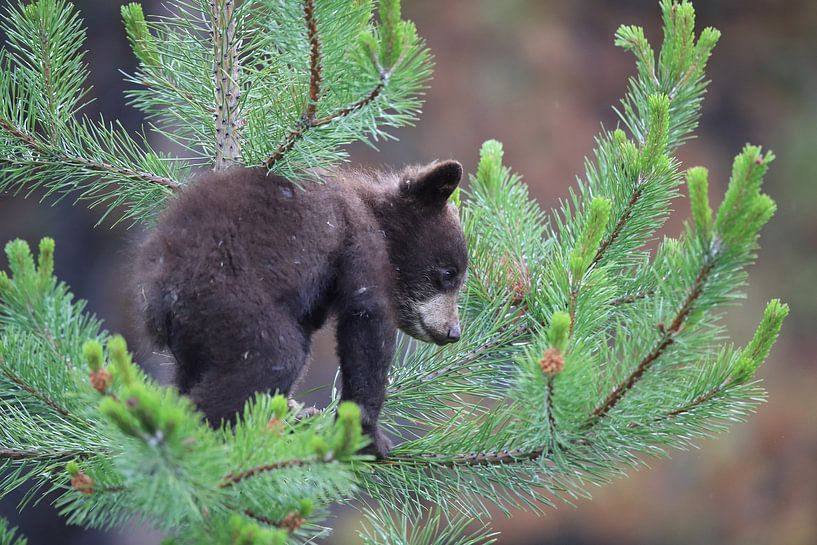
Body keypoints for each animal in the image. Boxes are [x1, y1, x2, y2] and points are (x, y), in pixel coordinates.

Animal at [133, 160, 468, 457]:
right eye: (449, 273)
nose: (453, 332)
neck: (372, 208)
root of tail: (161, 297)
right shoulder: (358, 237)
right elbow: (366, 321)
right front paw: (368, 437)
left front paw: (296, 413)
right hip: (232, 303)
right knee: (272, 358)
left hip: (196, 334)